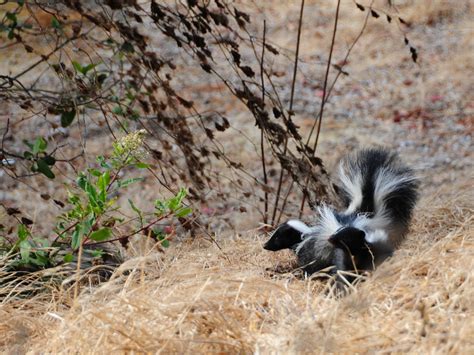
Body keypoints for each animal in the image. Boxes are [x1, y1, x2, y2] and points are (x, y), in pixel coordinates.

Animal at [262, 147, 418, 280]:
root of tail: (365, 214)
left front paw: (304, 276)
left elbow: (311, 267)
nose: (265, 245)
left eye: (277, 237)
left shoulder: (312, 252)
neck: (306, 234)